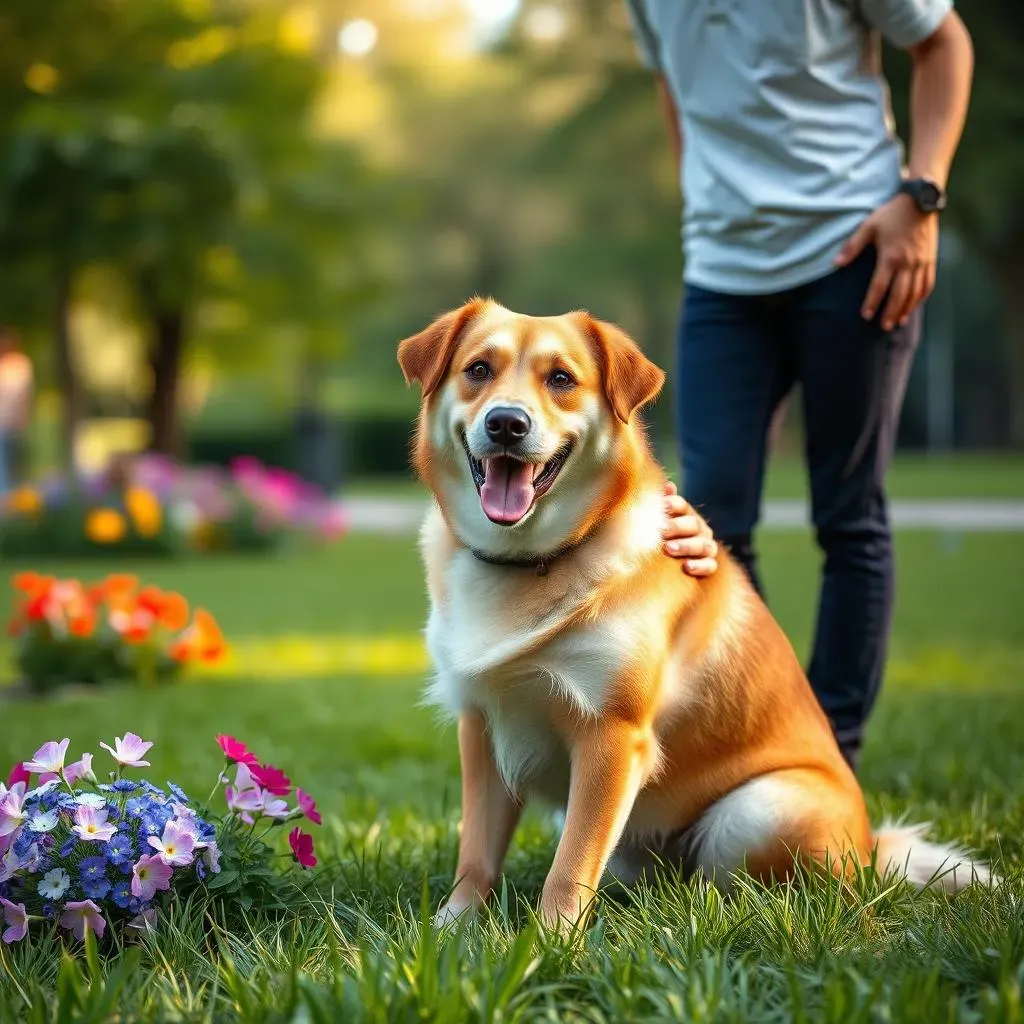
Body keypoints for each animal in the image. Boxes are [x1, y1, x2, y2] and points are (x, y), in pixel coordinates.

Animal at [397, 299, 991, 933]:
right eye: (479, 369)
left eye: (561, 379)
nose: (506, 423)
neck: (530, 561)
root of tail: (871, 846)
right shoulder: (483, 724)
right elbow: (476, 851)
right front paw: (453, 927)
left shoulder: (613, 736)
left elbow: (571, 865)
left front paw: (552, 940)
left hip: (755, 813)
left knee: (756, 885)